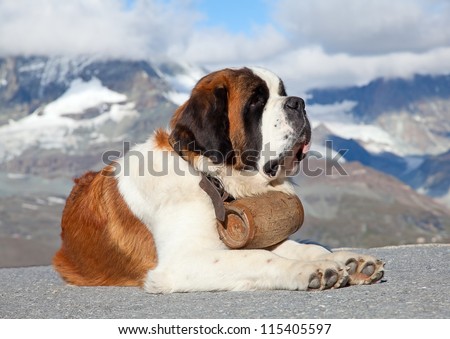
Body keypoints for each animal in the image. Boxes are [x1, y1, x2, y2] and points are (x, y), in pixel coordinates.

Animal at [52, 67, 384, 294]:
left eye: (282, 92)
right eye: (256, 102)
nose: (298, 103)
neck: (210, 178)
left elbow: (297, 246)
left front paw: (346, 261)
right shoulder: (181, 262)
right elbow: (257, 257)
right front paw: (310, 270)